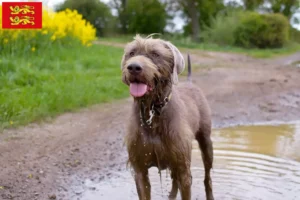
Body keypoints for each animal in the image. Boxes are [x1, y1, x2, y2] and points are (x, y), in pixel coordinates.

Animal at [120, 34, 213, 200]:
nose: (134, 67)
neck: (153, 112)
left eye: (156, 54)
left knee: (207, 176)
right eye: (131, 53)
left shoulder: (183, 168)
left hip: (206, 142)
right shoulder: (140, 170)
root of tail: (190, 82)